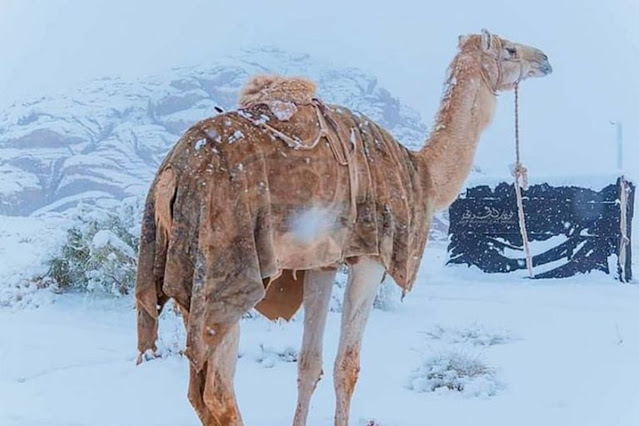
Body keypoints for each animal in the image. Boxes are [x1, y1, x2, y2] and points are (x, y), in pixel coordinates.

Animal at [135, 30, 552, 426]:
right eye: (510, 49)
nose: (545, 59)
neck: (420, 175)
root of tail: (172, 174)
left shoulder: (323, 261)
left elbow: (308, 364)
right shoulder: (371, 256)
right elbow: (346, 366)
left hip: (187, 273)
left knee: (199, 392)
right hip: (223, 268)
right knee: (218, 393)